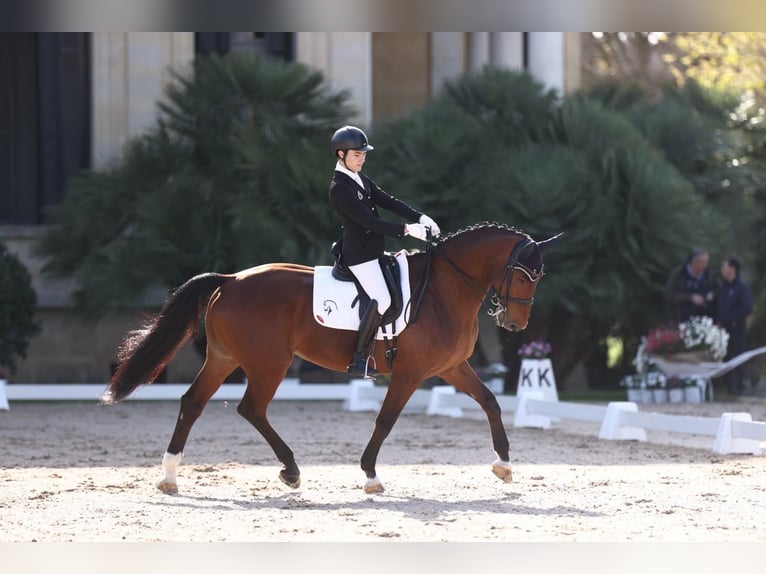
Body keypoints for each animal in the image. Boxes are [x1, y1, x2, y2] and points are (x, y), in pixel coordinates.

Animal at [102, 224, 560, 496]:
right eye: (525, 275)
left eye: (539, 276)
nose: (515, 324)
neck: (444, 289)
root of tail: (231, 280)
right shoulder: (411, 372)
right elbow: (385, 420)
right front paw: (371, 475)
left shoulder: (450, 367)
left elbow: (491, 402)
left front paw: (504, 465)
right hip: (269, 364)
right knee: (251, 408)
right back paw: (290, 470)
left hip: (223, 358)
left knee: (193, 403)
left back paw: (169, 476)